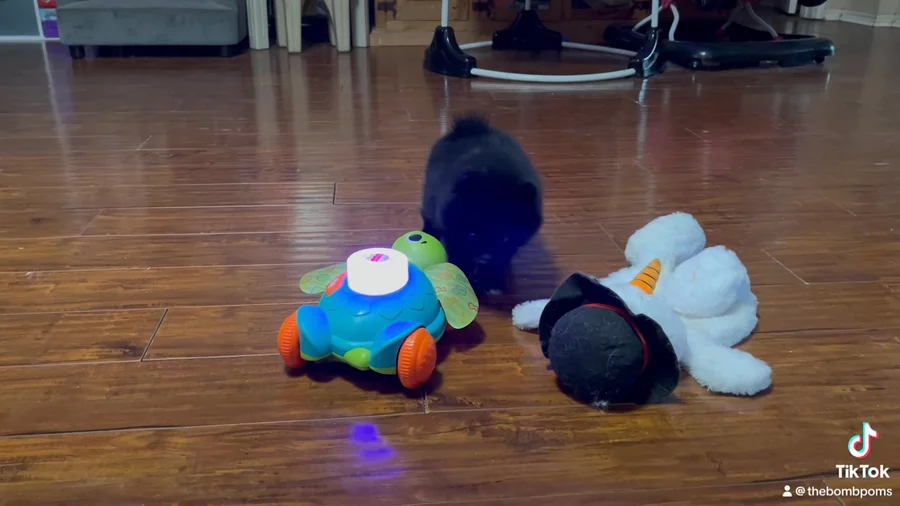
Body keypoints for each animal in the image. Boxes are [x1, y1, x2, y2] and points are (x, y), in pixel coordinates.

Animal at [421, 114, 543, 296]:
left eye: (506, 237)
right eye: (473, 234)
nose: (486, 257)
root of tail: (471, 130)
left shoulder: (510, 245)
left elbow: (502, 259)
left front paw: (493, 282)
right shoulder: (454, 233)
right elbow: (460, 256)